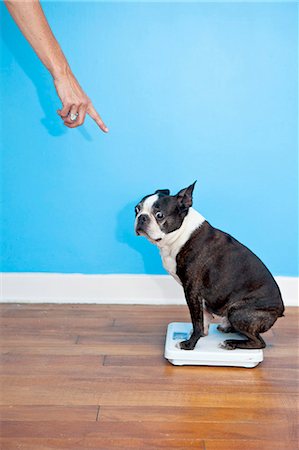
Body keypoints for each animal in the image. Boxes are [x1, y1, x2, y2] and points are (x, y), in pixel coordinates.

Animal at [135, 183, 284, 352]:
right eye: (136, 209)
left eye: (159, 215)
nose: (141, 217)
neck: (181, 234)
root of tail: (280, 311)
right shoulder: (199, 296)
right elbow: (204, 318)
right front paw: (201, 334)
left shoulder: (192, 291)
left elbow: (197, 321)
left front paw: (189, 344)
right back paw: (227, 328)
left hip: (237, 312)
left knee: (259, 342)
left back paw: (230, 342)